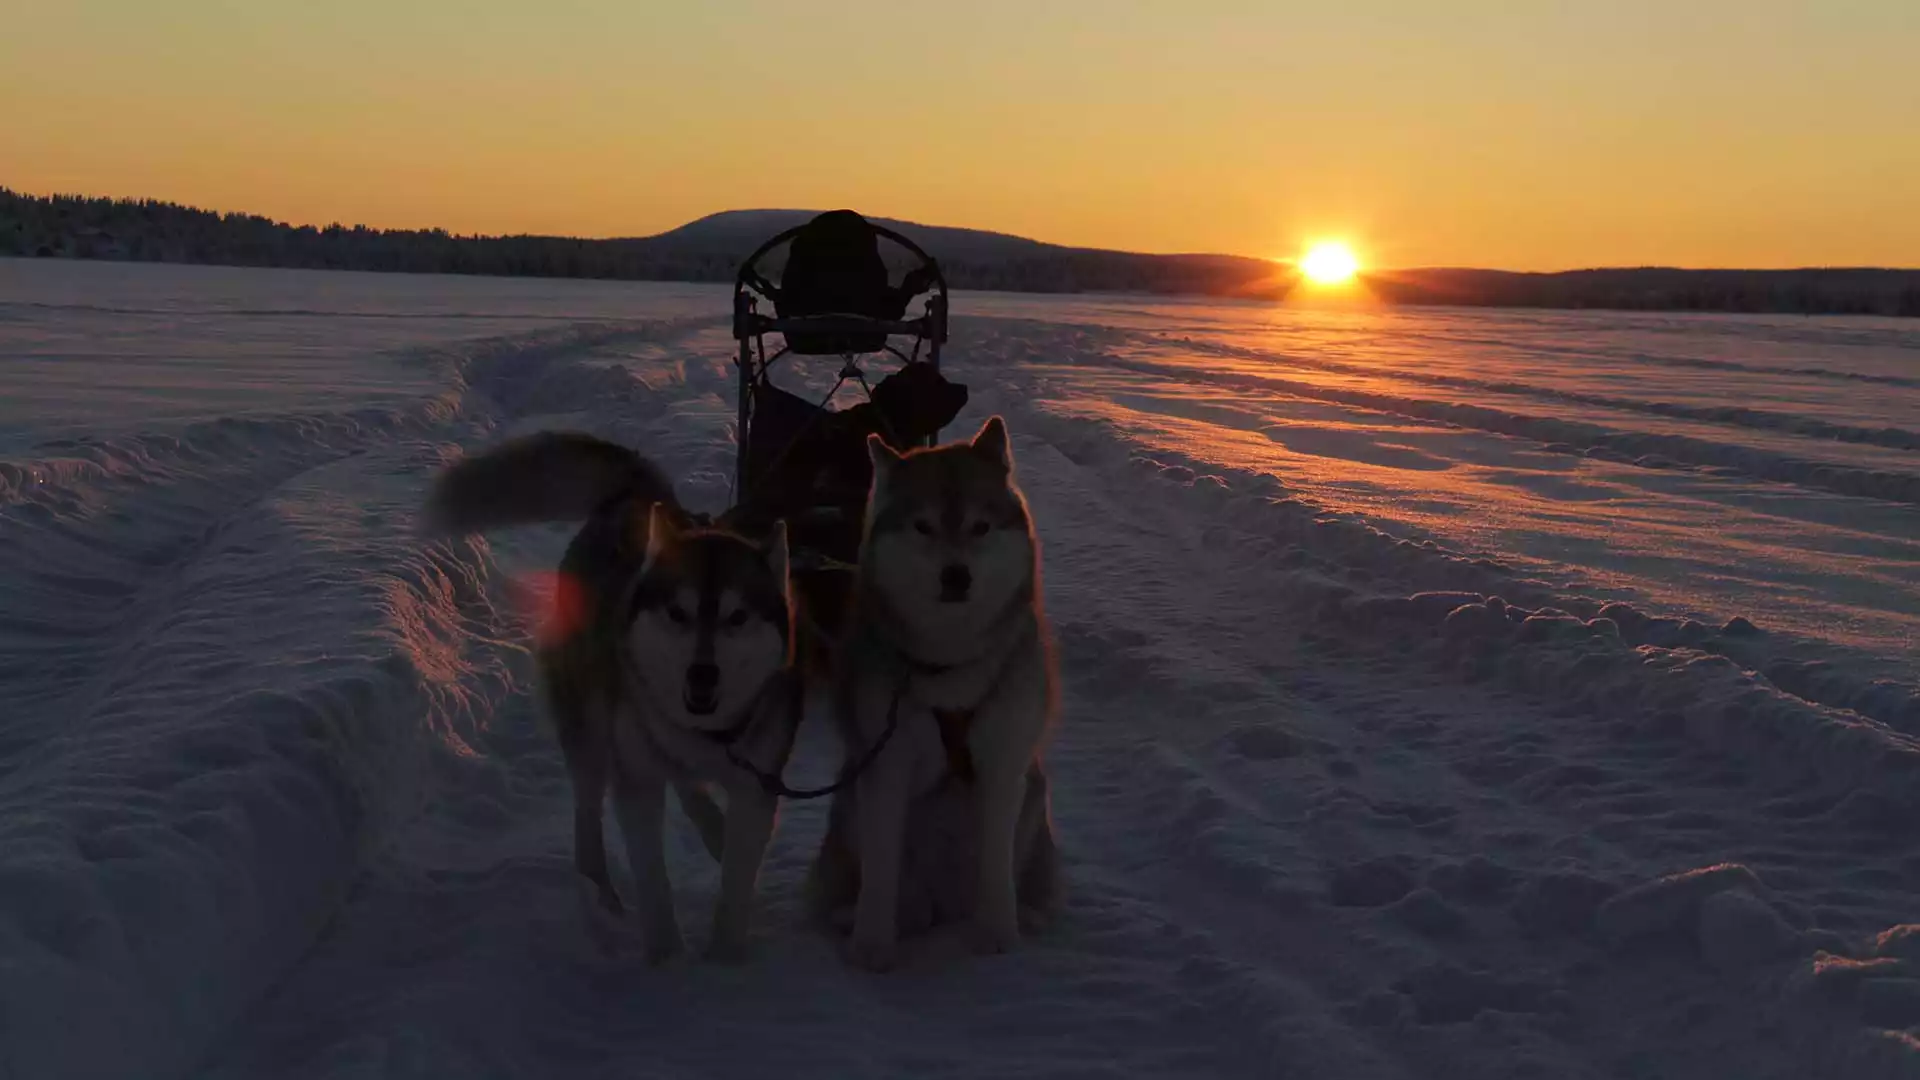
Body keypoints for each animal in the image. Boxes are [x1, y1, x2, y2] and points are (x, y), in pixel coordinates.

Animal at [424, 428, 798, 957]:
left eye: (737, 617)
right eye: (678, 613)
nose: (702, 676)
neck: (704, 734)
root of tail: (637, 498)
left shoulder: (756, 787)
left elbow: (737, 880)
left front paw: (725, 958)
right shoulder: (637, 782)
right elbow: (653, 879)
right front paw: (667, 959)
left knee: (684, 788)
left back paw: (711, 827)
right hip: (590, 726)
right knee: (589, 805)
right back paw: (599, 889)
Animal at [802, 411, 1059, 968]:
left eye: (981, 526)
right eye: (923, 526)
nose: (956, 576)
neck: (950, 662)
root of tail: (940, 903)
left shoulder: (1004, 764)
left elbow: (996, 866)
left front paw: (998, 933)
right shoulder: (886, 763)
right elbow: (880, 869)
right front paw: (872, 945)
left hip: (1034, 793)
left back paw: (1024, 914)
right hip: (850, 796)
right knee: (888, 886)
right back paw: (863, 915)